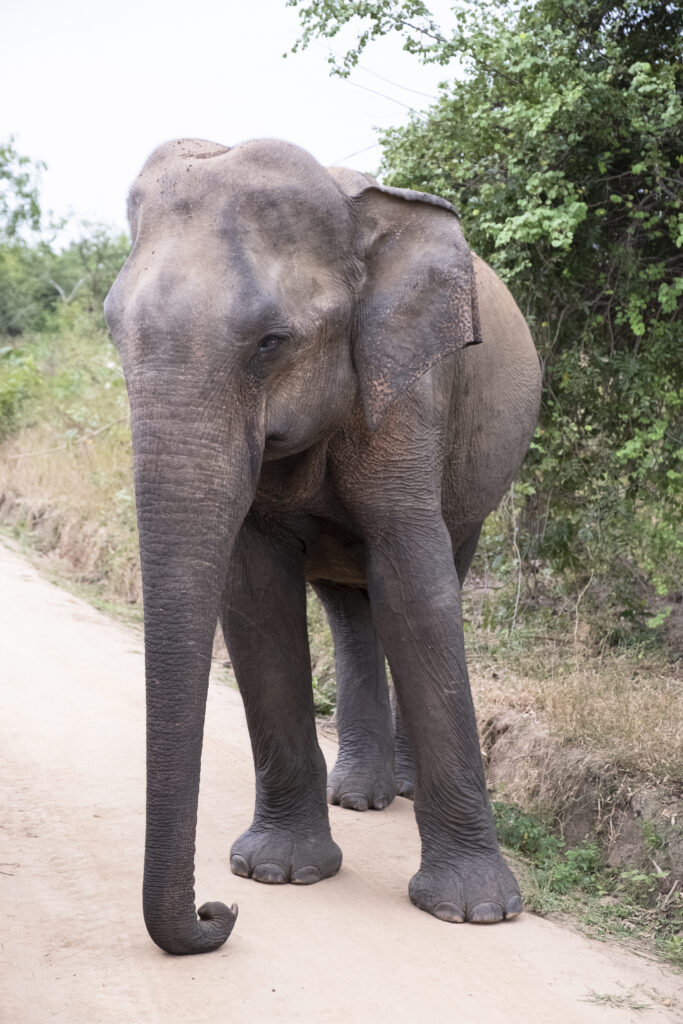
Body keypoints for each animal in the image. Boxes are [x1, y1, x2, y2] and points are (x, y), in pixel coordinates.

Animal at [104, 137, 542, 956]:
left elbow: (416, 585)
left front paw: (475, 913)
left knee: (433, 569)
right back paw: (360, 797)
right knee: (348, 604)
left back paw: (398, 792)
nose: (216, 912)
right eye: (115, 333)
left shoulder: (410, 391)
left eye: (271, 343)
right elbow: (255, 598)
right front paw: (278, 875)